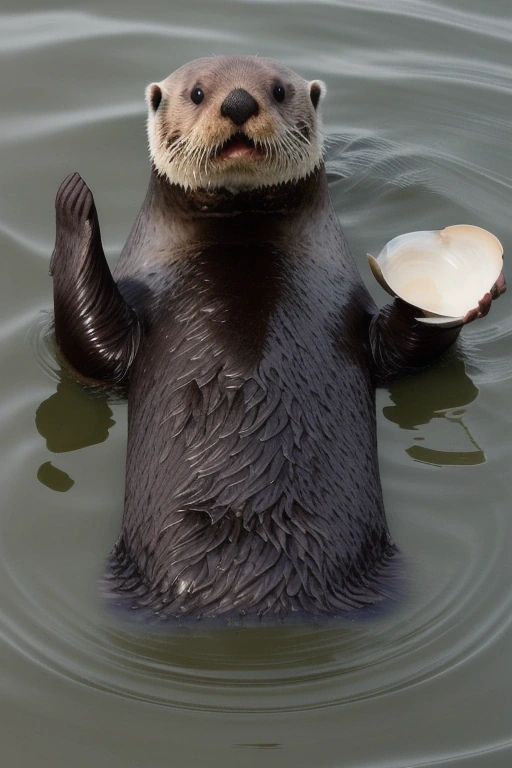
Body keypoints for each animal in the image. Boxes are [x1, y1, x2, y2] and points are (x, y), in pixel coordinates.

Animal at [50, 56, 505, 623]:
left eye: (279, 90)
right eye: (197, 93)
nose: (239, 101)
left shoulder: (351, 310)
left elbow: (399, 353)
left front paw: (476, 295)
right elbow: (89, 355)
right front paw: (73, 201)